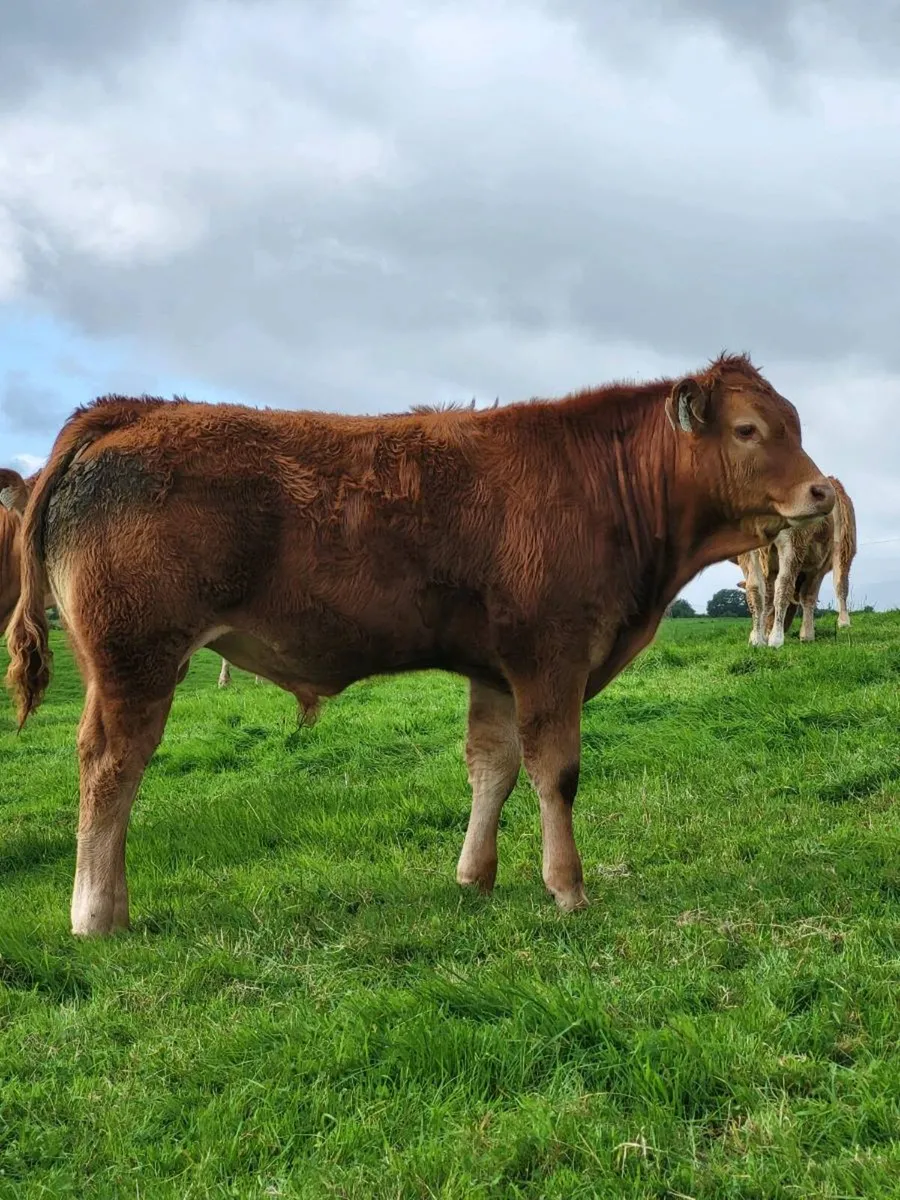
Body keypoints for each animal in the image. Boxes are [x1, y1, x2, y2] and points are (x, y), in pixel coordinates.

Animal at [5, 353, 835, 937]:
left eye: (794, 424)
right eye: (749, 430)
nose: (822, 491)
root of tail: (130, 412)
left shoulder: (497, 667)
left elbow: (492, 767)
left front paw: (476, 876)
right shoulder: (553, 654)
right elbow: (556, 771)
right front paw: (567, 886)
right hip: (136, 658)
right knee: (112, 768)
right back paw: (96, 915)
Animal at [735, 476, 856, 648]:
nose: (766, 630)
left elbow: (786, 592)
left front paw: (776, 637)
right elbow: (760, 593)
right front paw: (758, 638)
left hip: (840, 547)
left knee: (839, 583)